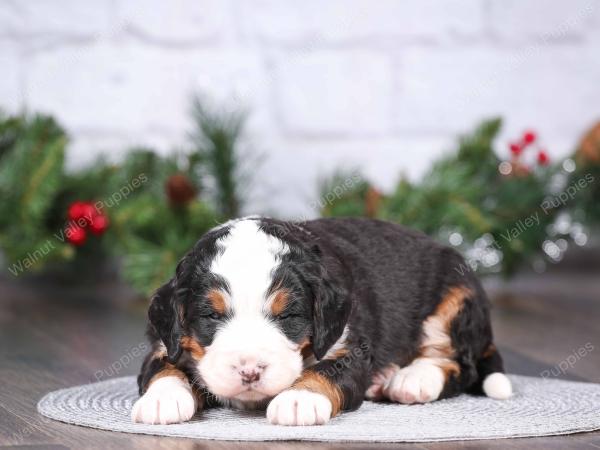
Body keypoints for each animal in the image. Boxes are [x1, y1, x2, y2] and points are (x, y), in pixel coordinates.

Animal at [130, 217, 510, 426]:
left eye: (288, 316)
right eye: (211, 315)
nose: (250, 371)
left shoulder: (348, 344)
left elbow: (326, 371)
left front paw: (299, 400)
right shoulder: (164, 339)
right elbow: (162, 367)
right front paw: (162, 399)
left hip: (455, 297)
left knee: (458, 363)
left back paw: (411, 380)